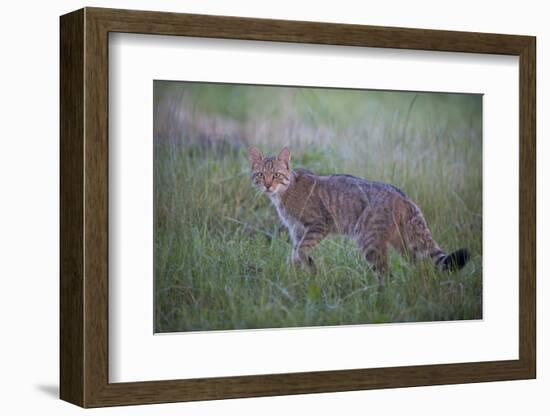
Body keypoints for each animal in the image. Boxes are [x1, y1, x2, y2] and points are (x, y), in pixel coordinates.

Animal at [250, 145, 470, 284]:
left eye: (276, 175)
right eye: (260, 175)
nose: (268, 185)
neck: (284, 194)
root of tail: (403, 196)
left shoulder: (318, 224)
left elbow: (300, 251)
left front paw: (306, 268)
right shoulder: (297, 230)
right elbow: (296, 253)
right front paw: (298, 274)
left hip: (369, 241)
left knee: (386, 275)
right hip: (403, 243)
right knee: (419, 267)